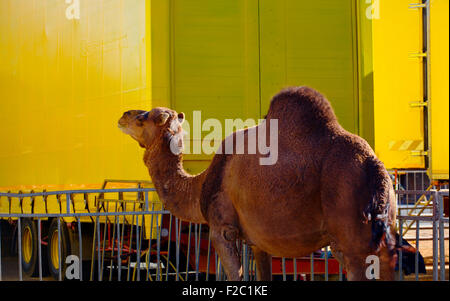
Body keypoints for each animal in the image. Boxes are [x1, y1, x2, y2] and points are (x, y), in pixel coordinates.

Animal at [118, 86, 396, 278]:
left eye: (142, 118)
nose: (123, 115)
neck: (201, 185)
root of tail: (375, 167)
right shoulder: (259, 240)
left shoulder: (222, 229)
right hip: (382, 230)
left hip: (351, 233)